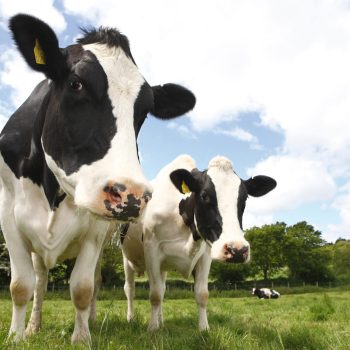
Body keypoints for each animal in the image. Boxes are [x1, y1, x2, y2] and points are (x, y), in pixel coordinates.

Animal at [0, 15, 196, 344]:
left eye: (144, 111)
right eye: (76, 84)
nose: (131, 195)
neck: (52, 190)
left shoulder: (96, 227)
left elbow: (82, 286)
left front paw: (81, 338)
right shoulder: (9, 216)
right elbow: (21, 286)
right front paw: (16, 337)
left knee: (93, 280)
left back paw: (89, 319)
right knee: (40, 280)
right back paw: (34, 326)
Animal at [121, 154, 278, 330]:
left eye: (244, 198)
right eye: (204, 195)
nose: (237, 250)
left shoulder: (205, 255)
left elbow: (201, 294)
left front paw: (204, 328)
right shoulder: (152, 249)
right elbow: (154, 294)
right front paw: (152, 329)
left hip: (163, 267)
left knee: (162, 288)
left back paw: (161, 321)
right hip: (127, 259)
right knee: (130, 289)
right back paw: (131, 319)